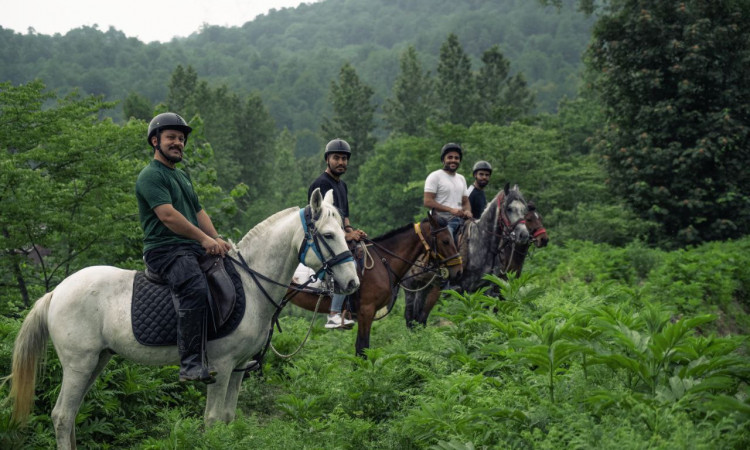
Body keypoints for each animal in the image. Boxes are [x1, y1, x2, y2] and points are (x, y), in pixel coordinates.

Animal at [5, 188, 358, 448]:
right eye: (328, 235)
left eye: (343, 233)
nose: (352, 282)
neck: (250, 283)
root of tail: (56, 293)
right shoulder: (222, 366)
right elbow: (213, 421)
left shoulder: (239, 368)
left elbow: (228, 417)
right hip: (79, 363)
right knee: (62, 416)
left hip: (96, 361)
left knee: (71, 415)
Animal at [406, 185, 552, 326]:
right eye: (509, 209)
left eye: (524, 211)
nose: (524, 235)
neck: (482, 245)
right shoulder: (468, 289)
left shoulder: (490, 288)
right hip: (418, 289)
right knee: (417, 318)